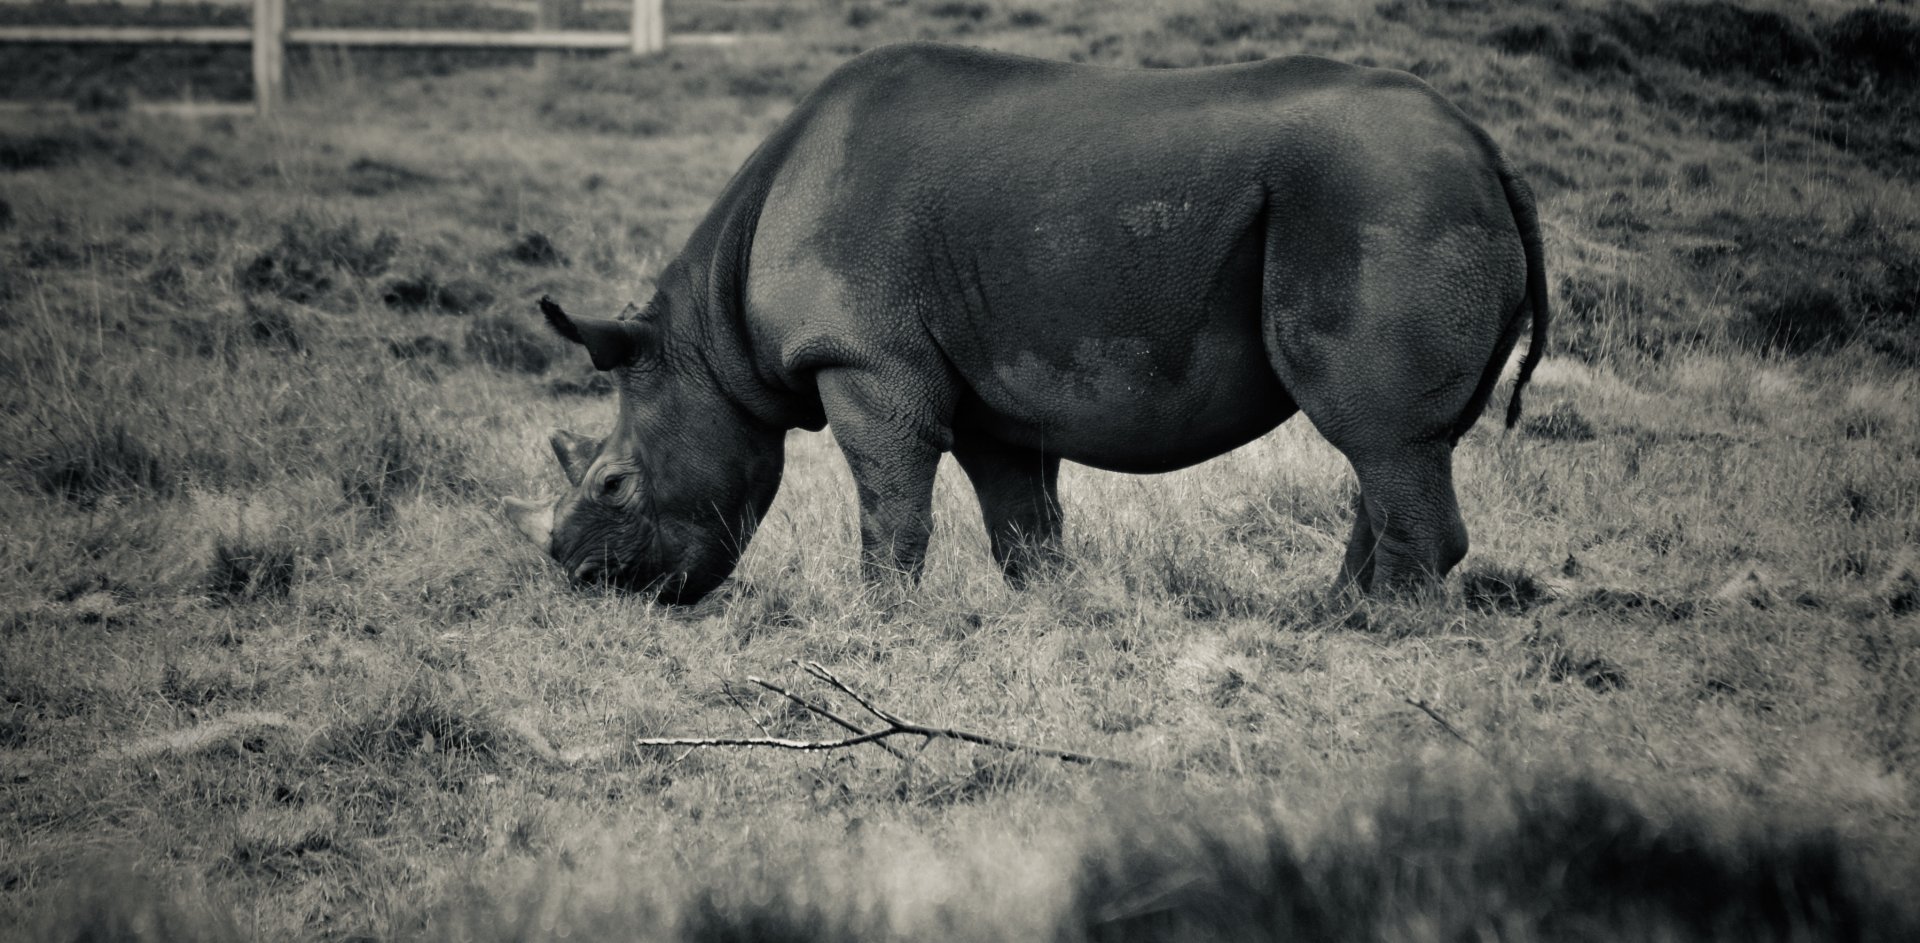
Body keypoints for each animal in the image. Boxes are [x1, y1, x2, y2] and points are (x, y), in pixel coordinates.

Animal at [503, 42, 1549, 604]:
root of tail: (1488, 148)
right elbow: (1021, 520)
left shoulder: (865, 358)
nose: (584, 580)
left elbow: (890, 500)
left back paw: (1376, 630)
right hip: (1406, 191)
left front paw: (880, 618)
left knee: (1379, 433)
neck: (708, 339)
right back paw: (1328, 615)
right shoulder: (988, 387)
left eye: (613, 483)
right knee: (1391, 445)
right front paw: (1052, 609)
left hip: (1384, 196)